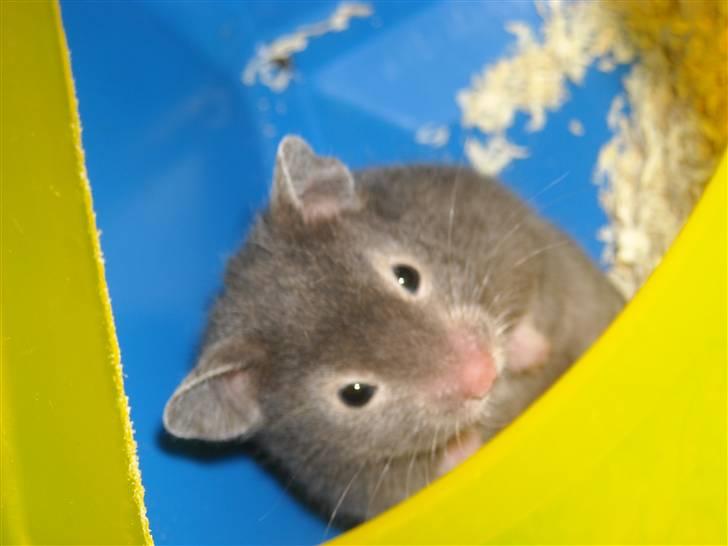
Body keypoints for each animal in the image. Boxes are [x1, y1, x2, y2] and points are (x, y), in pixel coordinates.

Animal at [163, 135, 624, 524]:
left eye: (407, 276)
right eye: (355, 394)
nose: (485, 375)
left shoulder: (508, 235)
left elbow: (525, 300)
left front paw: (531, 351)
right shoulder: (367, 486)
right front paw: (462, 447)